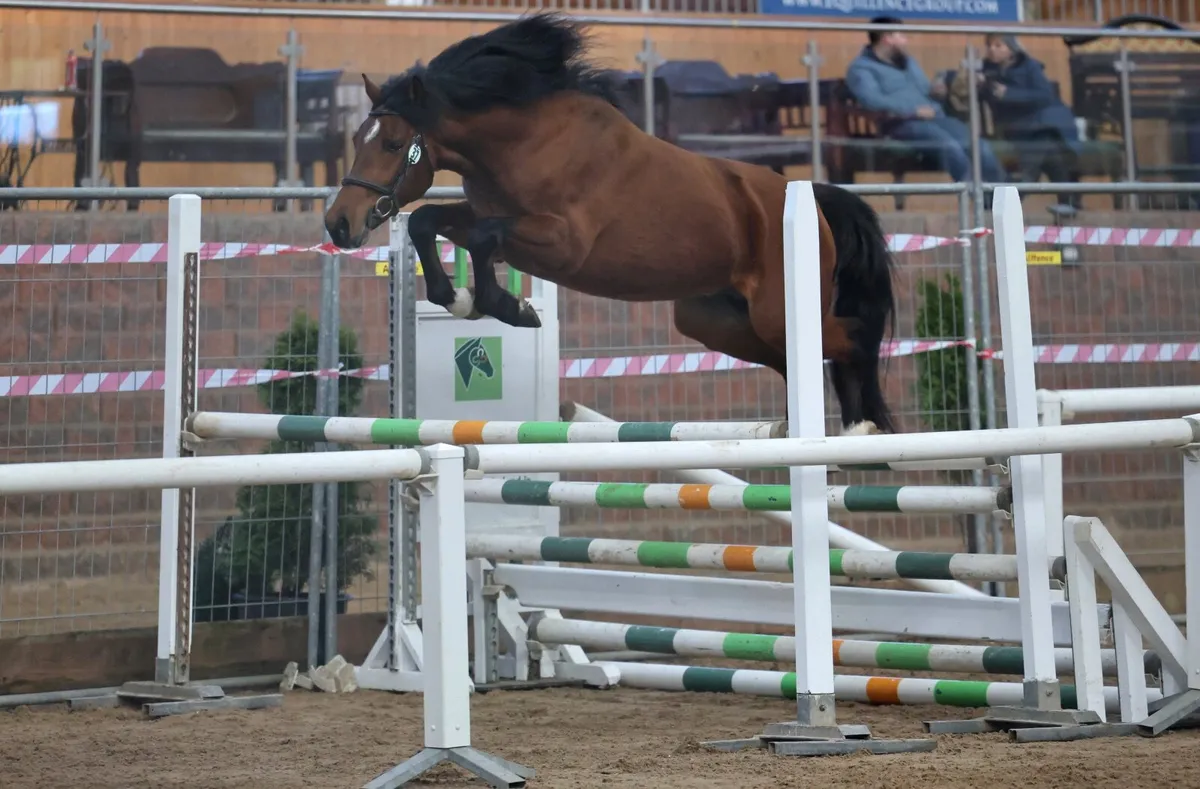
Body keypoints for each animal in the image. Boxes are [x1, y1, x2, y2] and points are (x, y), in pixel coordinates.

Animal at [324, 13, 898, 435]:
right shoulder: (489, 216)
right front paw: (464, 301)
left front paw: (507, 307)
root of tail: (813, 199)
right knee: (793, 359)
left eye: (393, 145)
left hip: (775, 310)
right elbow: (426, 222)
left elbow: (484, 241)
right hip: (712, 318)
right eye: (355, 139)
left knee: (851, 337)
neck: (525, 143)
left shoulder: (562, 242)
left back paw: (860, 430)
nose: (338, 224)